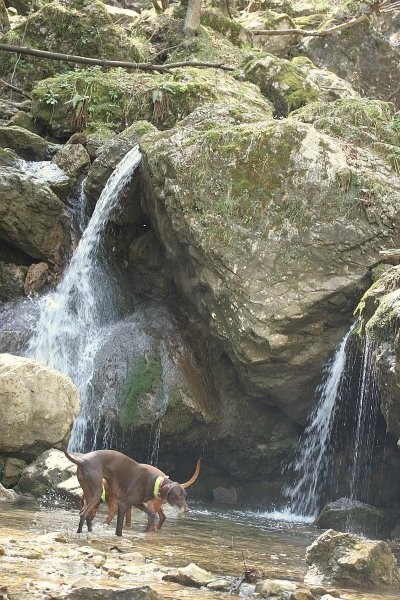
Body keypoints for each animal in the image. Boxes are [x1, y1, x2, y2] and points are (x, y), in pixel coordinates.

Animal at [63, 450, 191, 536]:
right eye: (178, 496)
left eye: (185, 496)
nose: (187, 510)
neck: (153, 482)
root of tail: (81, 460)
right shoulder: (123, 504)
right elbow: (119, 527)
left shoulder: (137, 503)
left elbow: (151, 514)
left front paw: (148, 529)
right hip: (96, 492)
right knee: (83, 514)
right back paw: (80, 532)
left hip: (89, 493)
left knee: (86, 514)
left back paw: (89, 531)